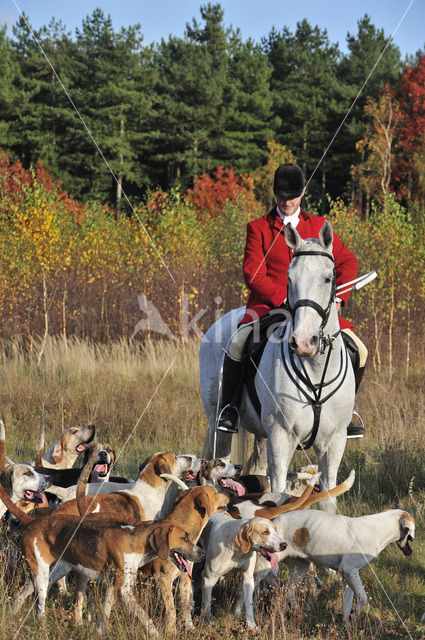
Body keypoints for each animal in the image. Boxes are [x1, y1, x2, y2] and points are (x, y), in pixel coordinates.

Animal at [199, 220, 354, 510]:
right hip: (219, 422)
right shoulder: (281, 437)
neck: (315, 367)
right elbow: (280, 491)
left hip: (262, 434)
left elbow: (328, 499)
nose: (304, 342)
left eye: (328, 278)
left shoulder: (334, 442)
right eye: (289, 279)